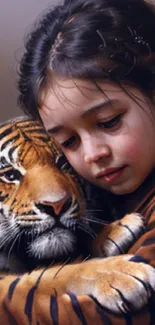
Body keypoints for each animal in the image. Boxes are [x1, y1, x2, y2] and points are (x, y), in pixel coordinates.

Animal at [0, 116, 154, 324]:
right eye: (10, 175)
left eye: (63, 163)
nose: (57, 205)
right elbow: (42, 278)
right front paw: (117, 273)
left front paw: (116, 229)